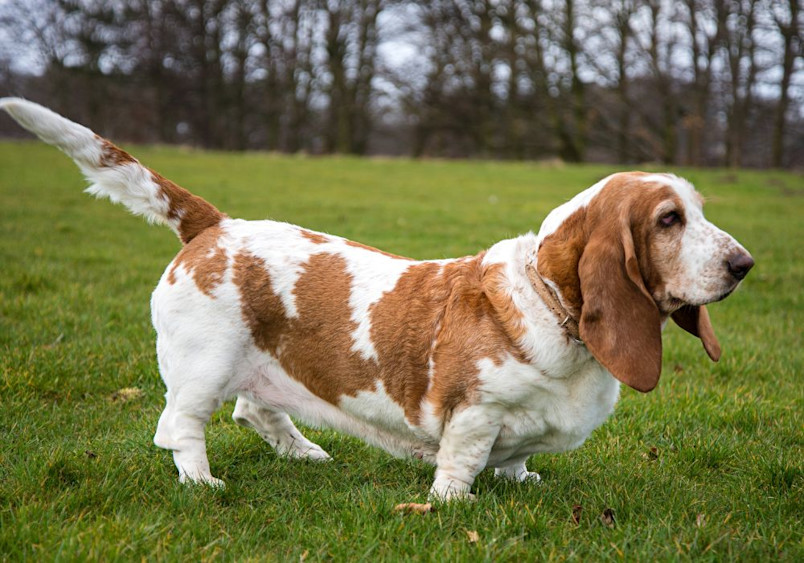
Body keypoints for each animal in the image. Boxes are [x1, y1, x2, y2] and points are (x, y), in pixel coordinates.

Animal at [1, 99, 752, 500]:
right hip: (203, 366)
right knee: (180, 426)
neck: (551, 305)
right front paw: (452, 503)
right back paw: (204, 483)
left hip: (259, 362)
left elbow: (517, 458)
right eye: (668, 220)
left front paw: (523, 480)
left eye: (699, 210)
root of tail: (214, 224)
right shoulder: (473, 412)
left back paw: (305, 453)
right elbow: (464, 460)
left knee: (255, 408)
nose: (744, 264)